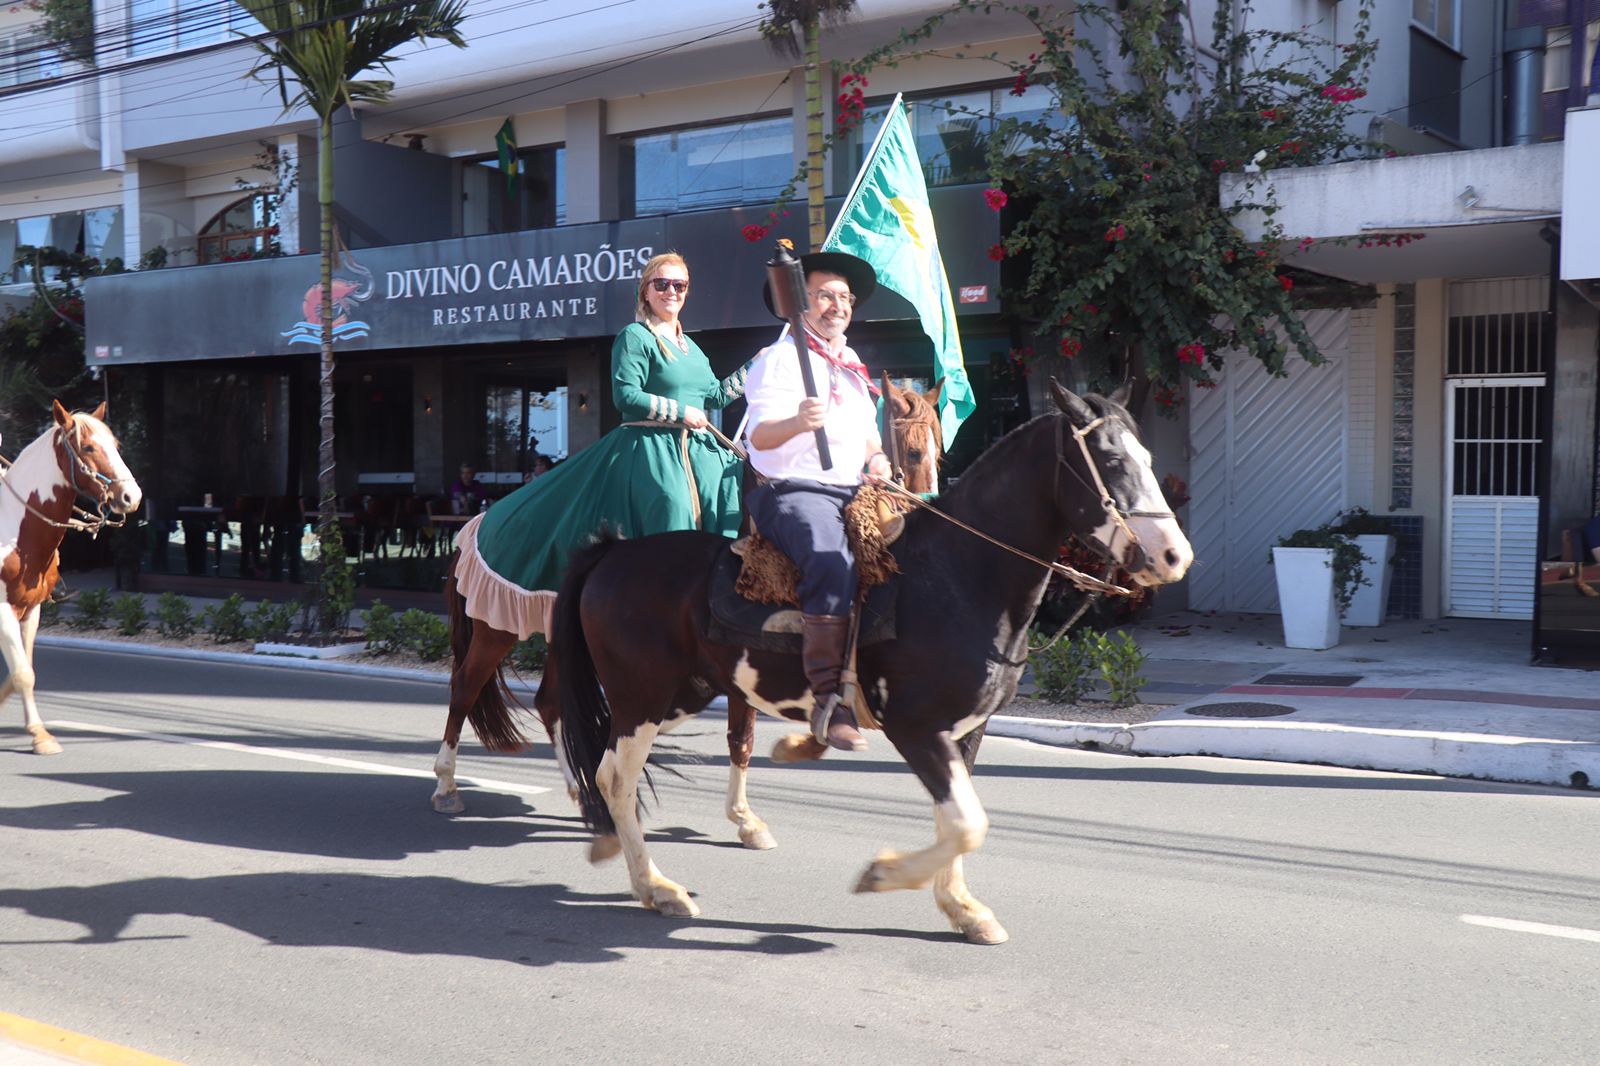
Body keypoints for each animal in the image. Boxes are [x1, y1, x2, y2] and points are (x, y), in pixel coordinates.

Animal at [1, 400, 141, 755]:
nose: (131, 497)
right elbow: (22, 673)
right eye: (88, 447)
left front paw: (36, 731)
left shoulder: (31, 609)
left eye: (116, 444)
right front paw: (40, 736)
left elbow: (24, 670)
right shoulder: (3, 610)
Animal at [432, 384, 940, 813]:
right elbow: (741, 728)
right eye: (915, 451)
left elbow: (742, 732)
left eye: (941, 444)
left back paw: (580, 790)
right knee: (465, 689)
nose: (923, 512)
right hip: (497, 628)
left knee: (550, 702)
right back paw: (446, 785)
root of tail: (478, 521)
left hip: (562, 635)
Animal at [550, 379, 1190, 941]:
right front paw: (885, 875)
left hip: (686, 693)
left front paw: (962, 908)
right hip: (640, 698)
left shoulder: (966, 730)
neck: (957, 574)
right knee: (612, 775)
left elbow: (957, 817)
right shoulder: (916, 726)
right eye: (1109, 459)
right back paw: (656, 886)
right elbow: (968, 822)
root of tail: (613, 552)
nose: (1173, 556)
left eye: (1146, 456)